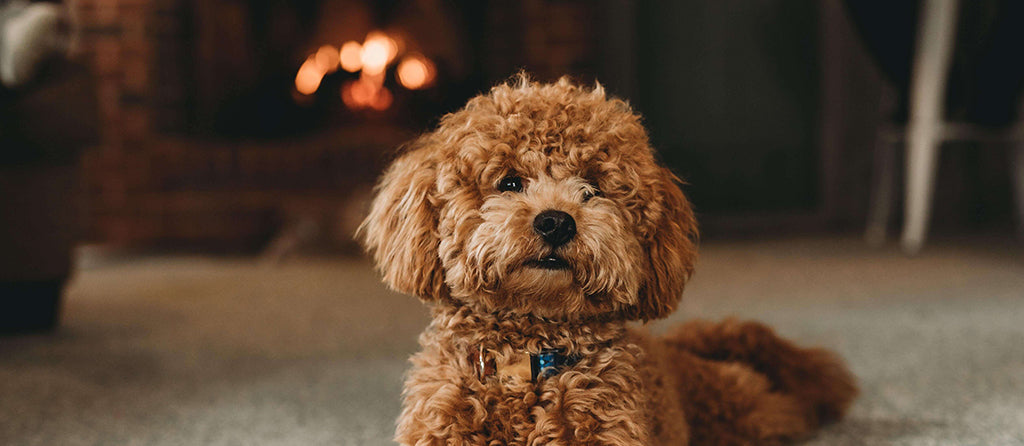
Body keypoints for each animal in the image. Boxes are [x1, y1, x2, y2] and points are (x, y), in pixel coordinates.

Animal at [360, 74, 856, 443]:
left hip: (742, 409)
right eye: (509, 182)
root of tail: (673, 347)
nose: (555, 222)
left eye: (592, 188)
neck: (529, 358)